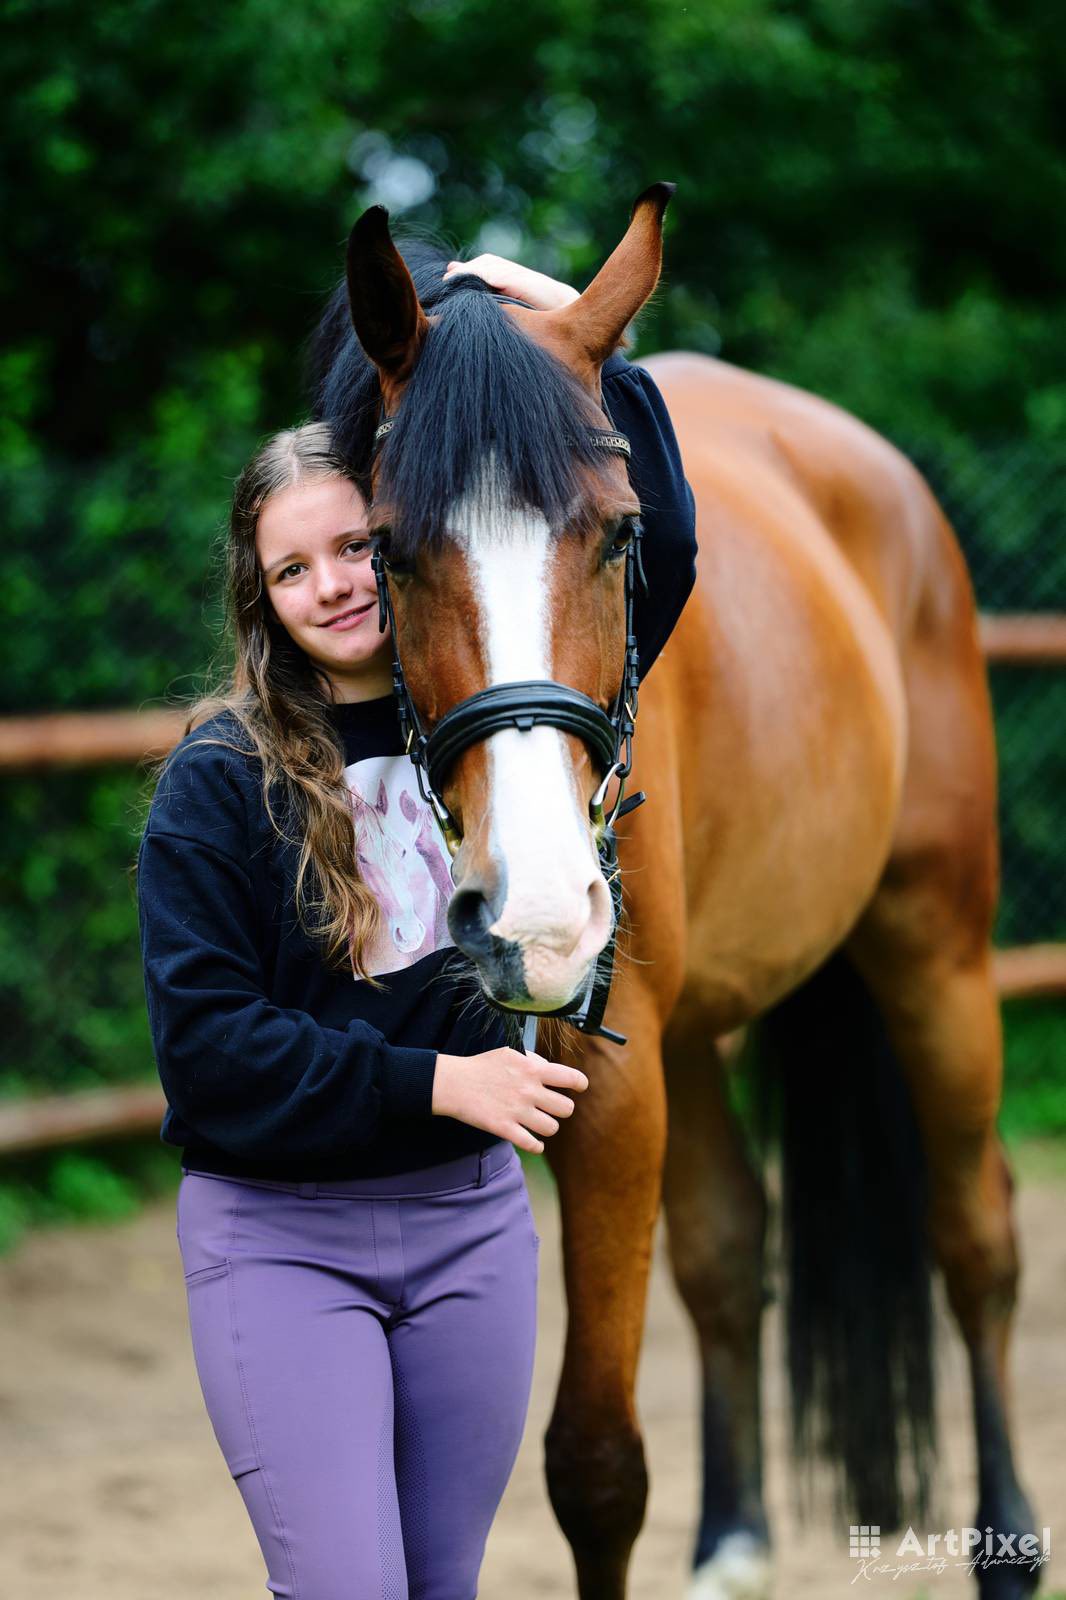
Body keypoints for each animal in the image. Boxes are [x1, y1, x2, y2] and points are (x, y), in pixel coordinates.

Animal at [309, 186, 1038, 1600]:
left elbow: (595, 1462)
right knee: (726, 1247)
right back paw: (735, 1543)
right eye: (386, 552)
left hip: (934, 949)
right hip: (698, 1025)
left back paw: (1009, 1550)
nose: (538, 918)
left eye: (622, 535)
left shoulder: (609, 1070)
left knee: (974, 1235)